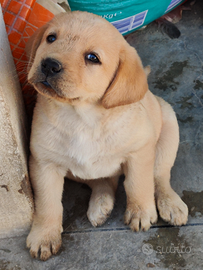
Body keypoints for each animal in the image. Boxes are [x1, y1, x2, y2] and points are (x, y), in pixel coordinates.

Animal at [26, 11, 188, 260]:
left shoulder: (139, 151)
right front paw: (44, 235)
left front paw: (140, 210)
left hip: (168, 127)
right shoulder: (44, 163)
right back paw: (101, 204)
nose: (49, 64)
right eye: (51, 38)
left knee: (159, 176)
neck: (82, 118)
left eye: (92, 58)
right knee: (104, 180)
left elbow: (138, 183)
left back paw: (170, 203)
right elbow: (47, 203)